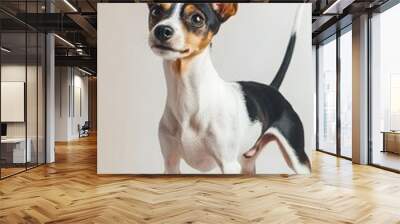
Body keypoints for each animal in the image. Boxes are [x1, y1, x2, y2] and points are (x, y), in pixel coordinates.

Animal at [148, 2, 310, 174]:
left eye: (197, 18)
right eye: (156, 11)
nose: (161, 30)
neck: (189, 97)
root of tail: (273, 89)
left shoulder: (228, 165)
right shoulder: (170, 163)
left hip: (298, 160)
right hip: (248, 163)